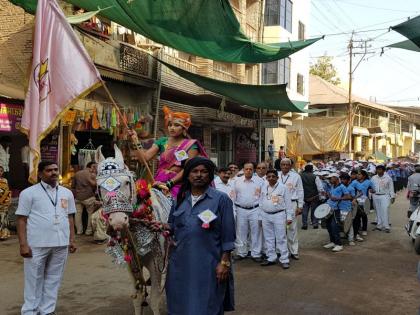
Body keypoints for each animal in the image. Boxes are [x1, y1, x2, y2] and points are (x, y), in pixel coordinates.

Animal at [96, 146, 170, 315]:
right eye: (99, 186)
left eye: (127, 182)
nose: (118, 221)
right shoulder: (131, 264)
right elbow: (137, 297)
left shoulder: (156, 262)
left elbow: (154, 298)